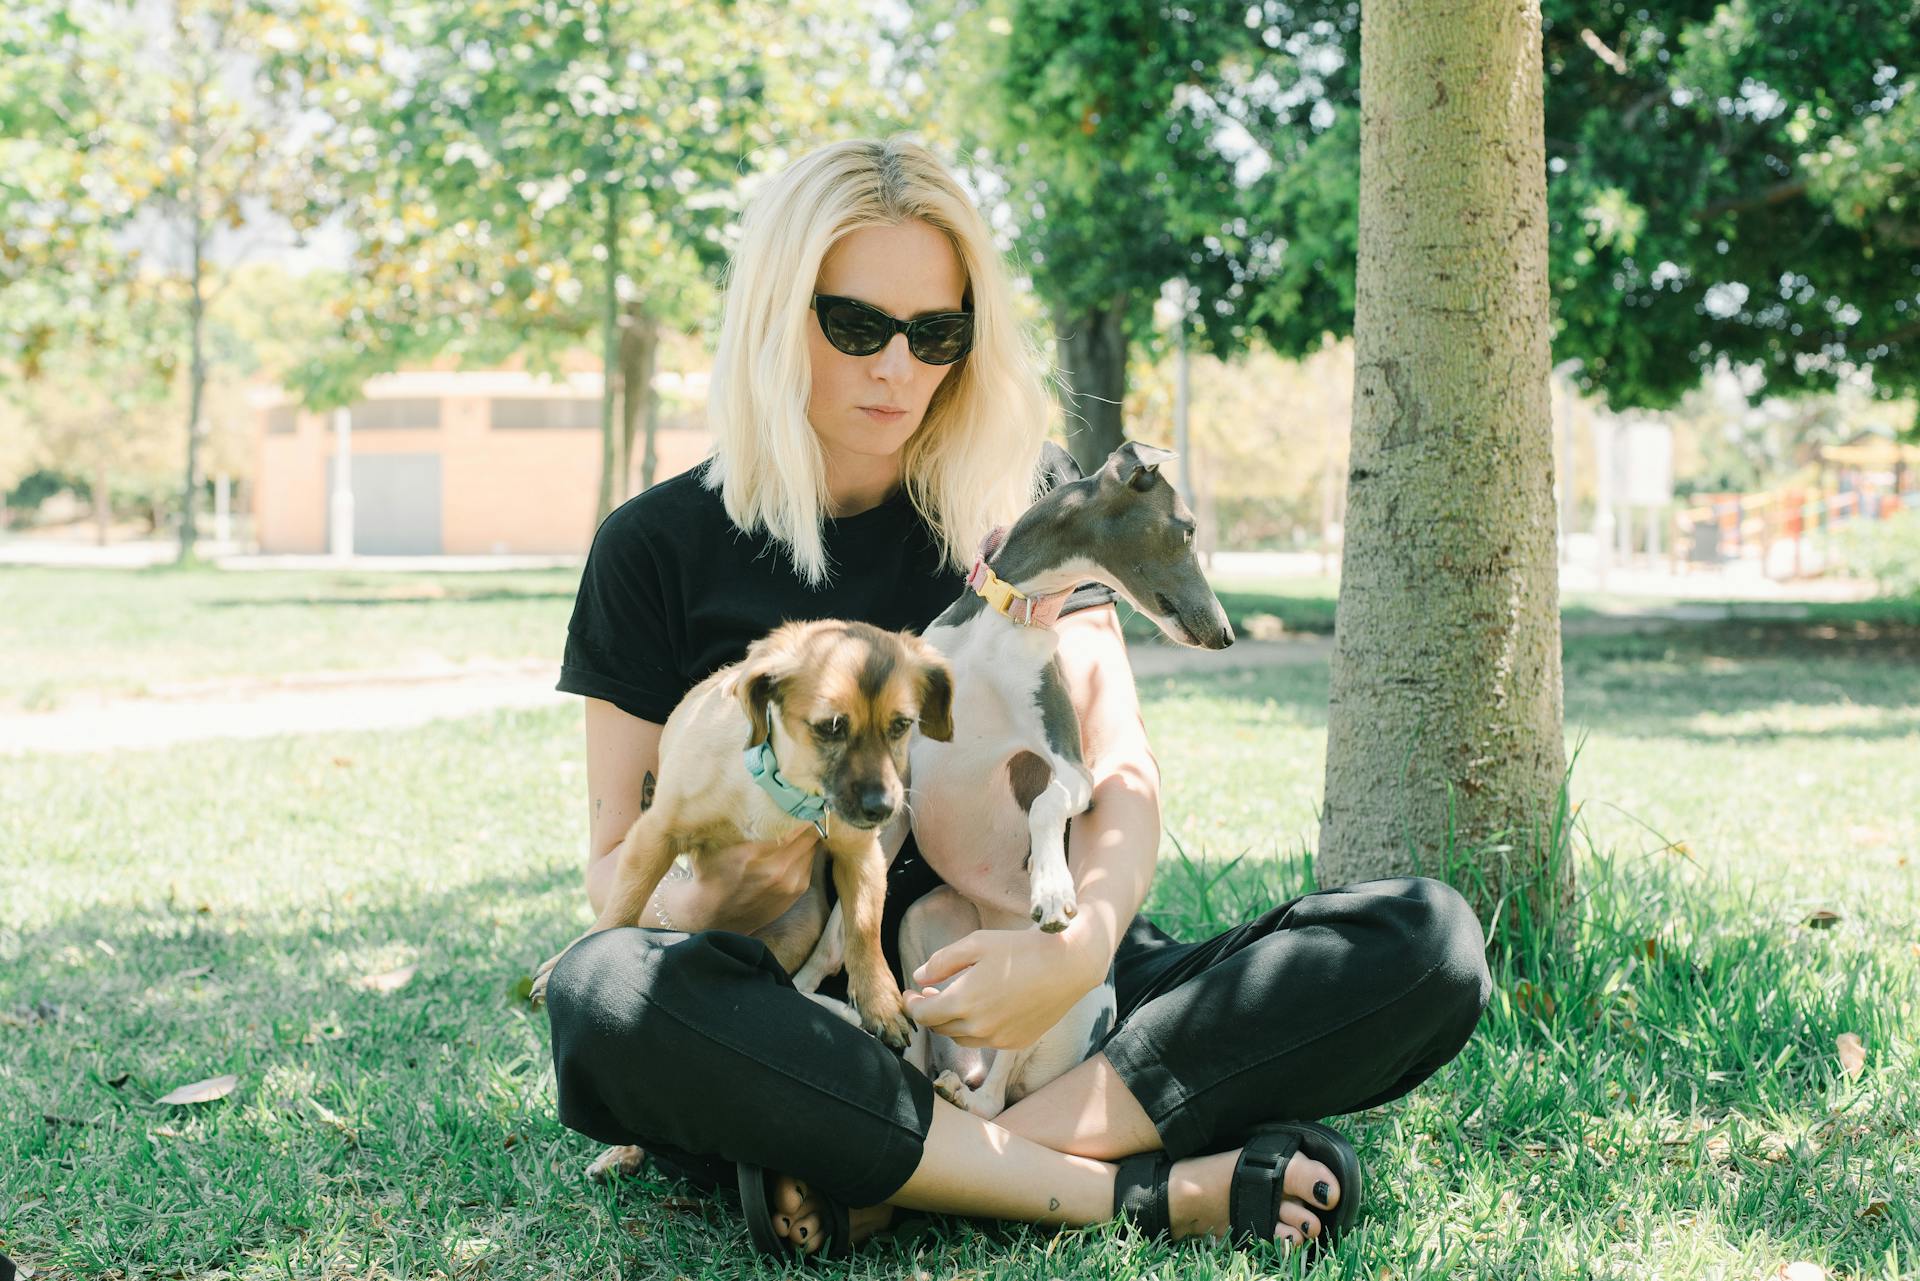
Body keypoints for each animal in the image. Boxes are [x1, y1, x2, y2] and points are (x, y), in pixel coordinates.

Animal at [529, 622, 948, 1052]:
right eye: (831, 727)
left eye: (901, 725)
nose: (882, 808)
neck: (782, 791)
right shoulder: (655, 832)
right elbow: (622, 906)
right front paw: (567, 956)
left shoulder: (859, 853)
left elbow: (863, 928)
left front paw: (879, 1001)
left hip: (800, 928)